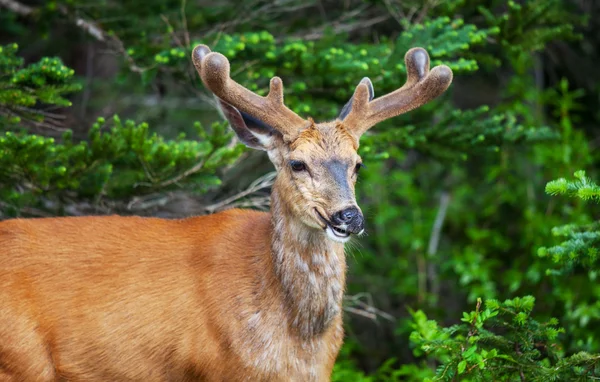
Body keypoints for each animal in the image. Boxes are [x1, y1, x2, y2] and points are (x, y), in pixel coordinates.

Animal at [0, 43, 450, 380]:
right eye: (297, 163)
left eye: (358, 164)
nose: (348, 217)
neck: (297, 340)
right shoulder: (221, 370)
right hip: (21, 360)